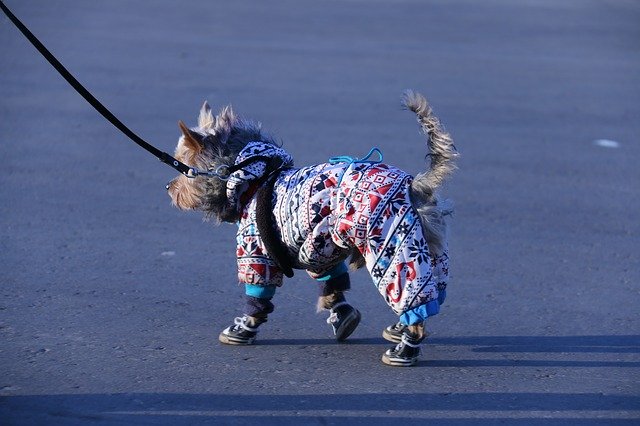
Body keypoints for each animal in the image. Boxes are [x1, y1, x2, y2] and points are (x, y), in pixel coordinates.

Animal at [165, 92, 456, 366]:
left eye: (182, 168)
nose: (168, 187)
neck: (252, 178)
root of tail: (414, 185)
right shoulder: (318, 243)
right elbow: (332, 281)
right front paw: (340, 313)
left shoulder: (257, 248)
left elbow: (259, 290)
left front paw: (245, 327)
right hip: (430, 250)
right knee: (434, 291)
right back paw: (399, 328)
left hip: (394, 248)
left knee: (411, 299)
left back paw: (406, 349)